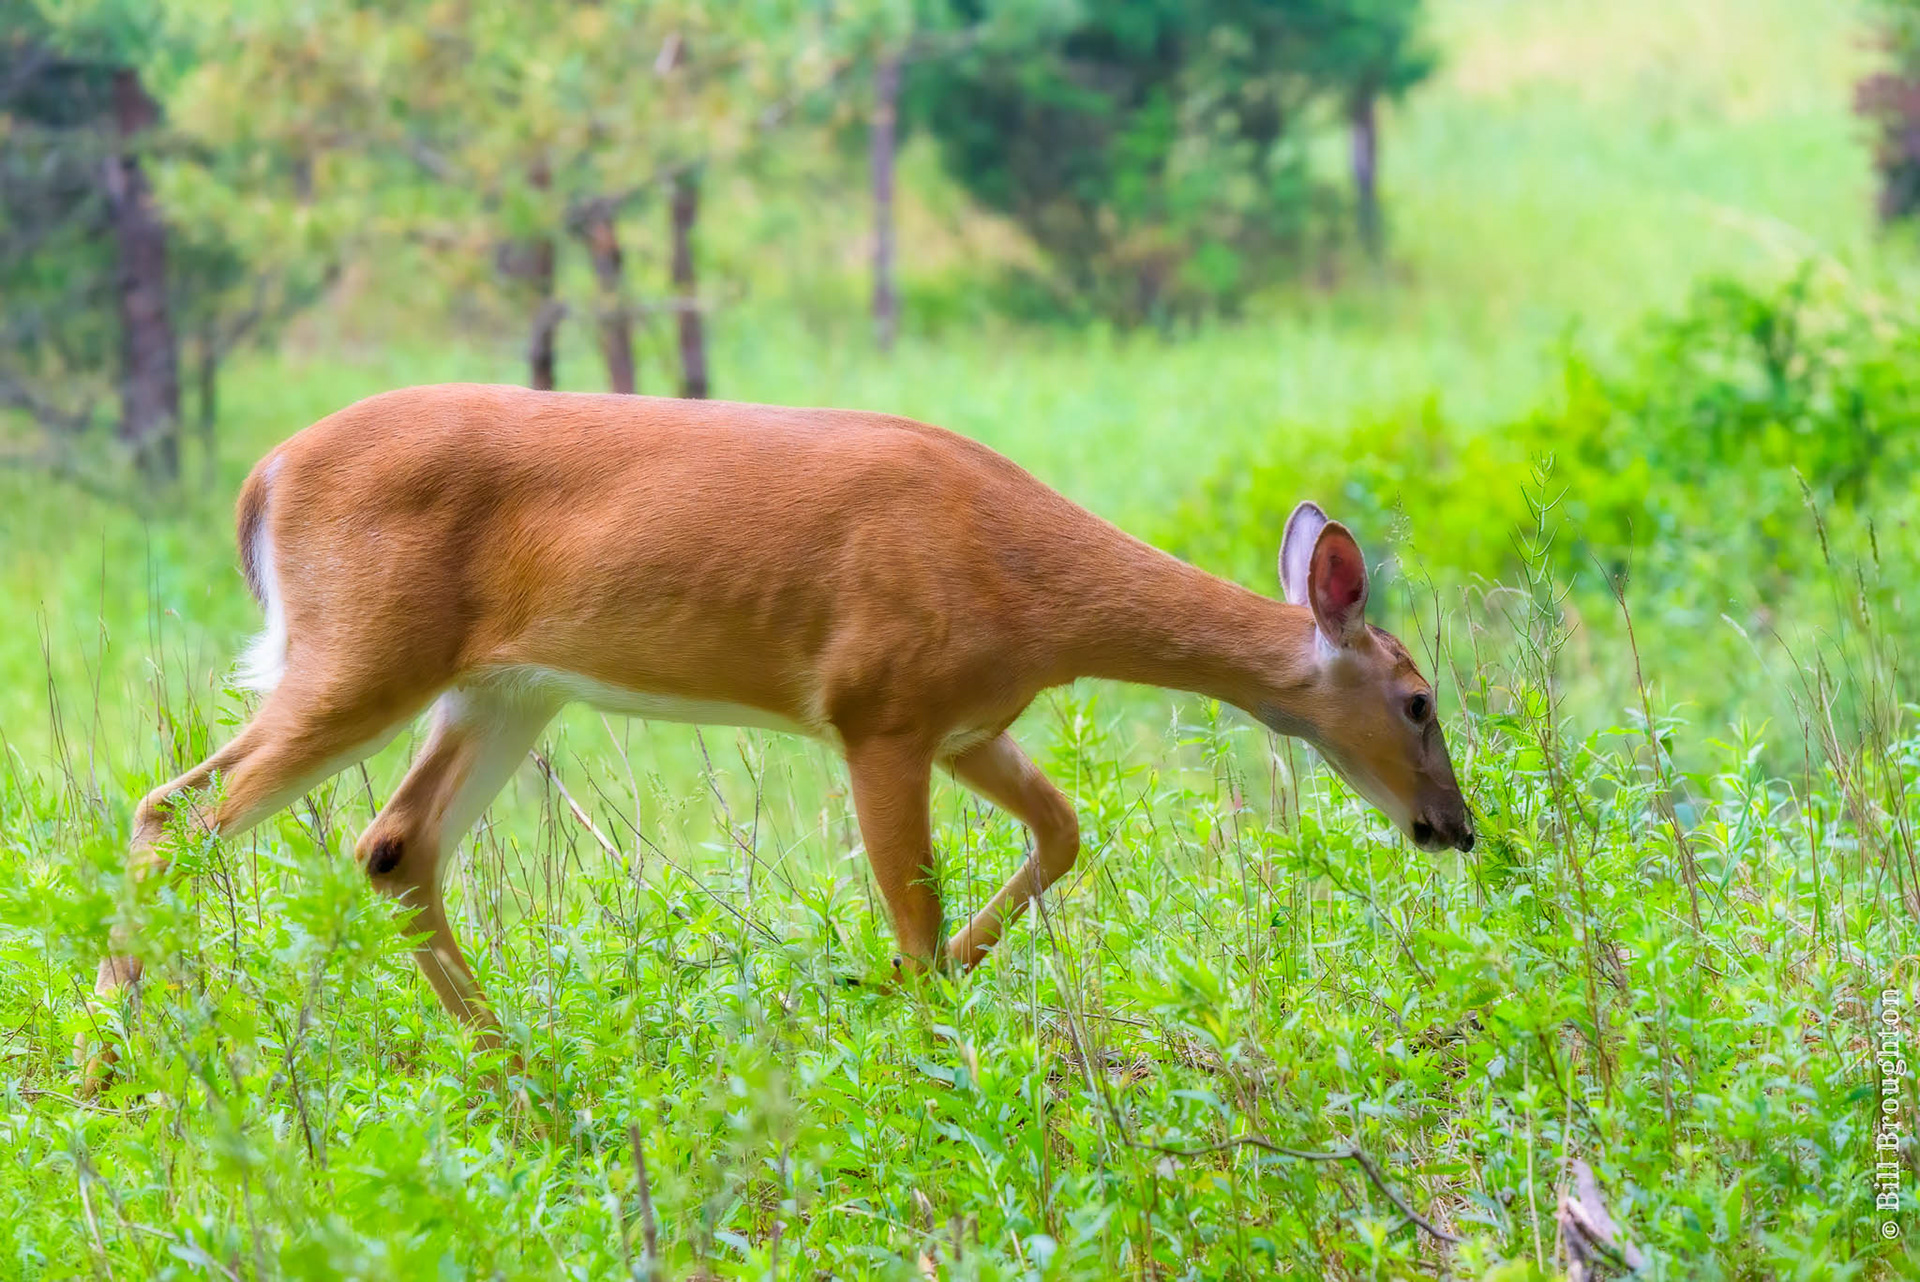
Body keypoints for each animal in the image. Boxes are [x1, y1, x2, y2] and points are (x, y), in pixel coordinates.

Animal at [88, 384, 1473, 1073]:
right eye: (1419, 700)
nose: (1454, 828)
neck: (1032, 589)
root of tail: (264, 478)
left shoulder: (969, 723)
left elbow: (1065, 832)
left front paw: (929, 986)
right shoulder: (878, 708)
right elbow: (912, 912)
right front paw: (925, 1047)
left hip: (505, 686)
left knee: (391, 845)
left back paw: (521, 1073)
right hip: (361, 652)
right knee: (175, 810)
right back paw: (103, 1073)